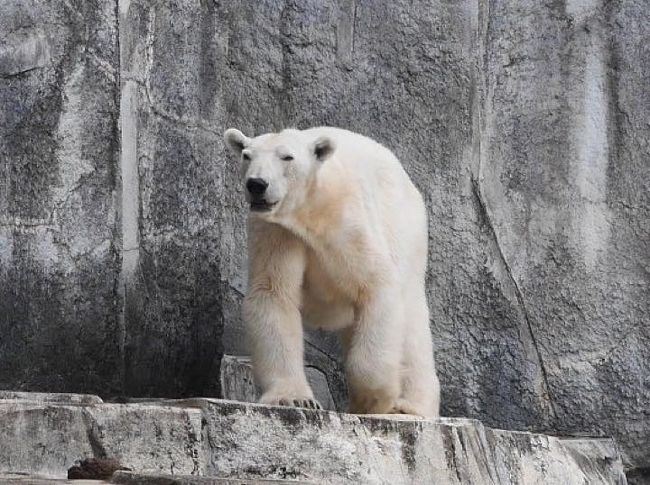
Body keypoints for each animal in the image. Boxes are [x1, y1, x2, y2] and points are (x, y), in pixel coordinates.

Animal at [224, 125, 440, 416]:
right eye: (246, 155)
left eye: (287, 157)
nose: (257, 184)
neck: (312, 207)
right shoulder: (277, 231)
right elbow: (273, 293)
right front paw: (294, 398)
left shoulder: (348, 223)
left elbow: (376, 284)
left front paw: (372, 400)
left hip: (406, 232)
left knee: (412, 324)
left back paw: (411, 406)